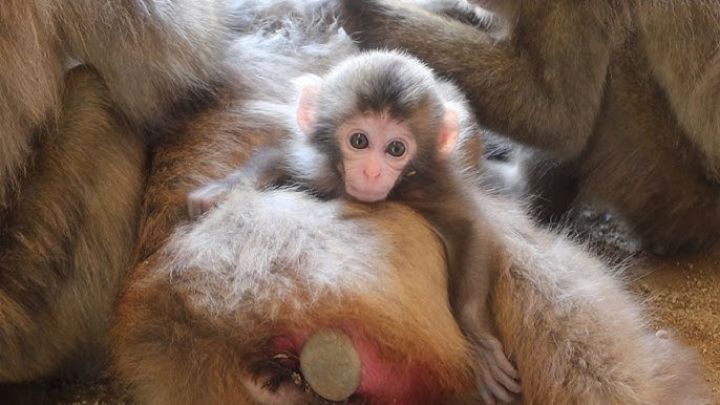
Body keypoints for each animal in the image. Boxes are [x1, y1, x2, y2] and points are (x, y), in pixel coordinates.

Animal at [185, 49, 522, 403]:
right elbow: (282, 157)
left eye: (396, 149)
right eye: (359, 140)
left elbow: (469, 230)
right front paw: (222, 189)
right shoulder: (320, 169)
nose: (373, 172)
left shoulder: (428, 185)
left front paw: (480, 343)